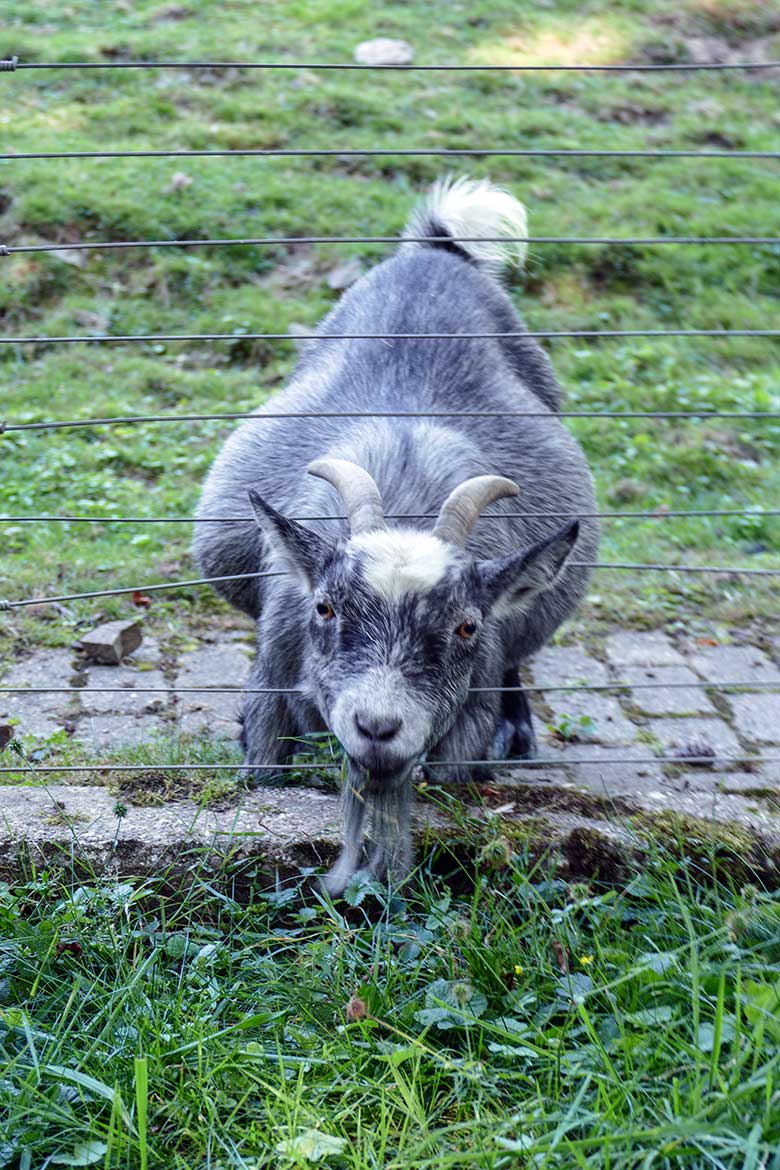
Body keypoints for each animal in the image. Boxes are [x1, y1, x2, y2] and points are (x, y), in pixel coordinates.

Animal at [194, 173, 598, 889]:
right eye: (324, 608)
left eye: (467, 626)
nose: (378, 726)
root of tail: (437, 251)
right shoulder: (275, 666)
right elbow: (264, 764)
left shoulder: (465, 712)